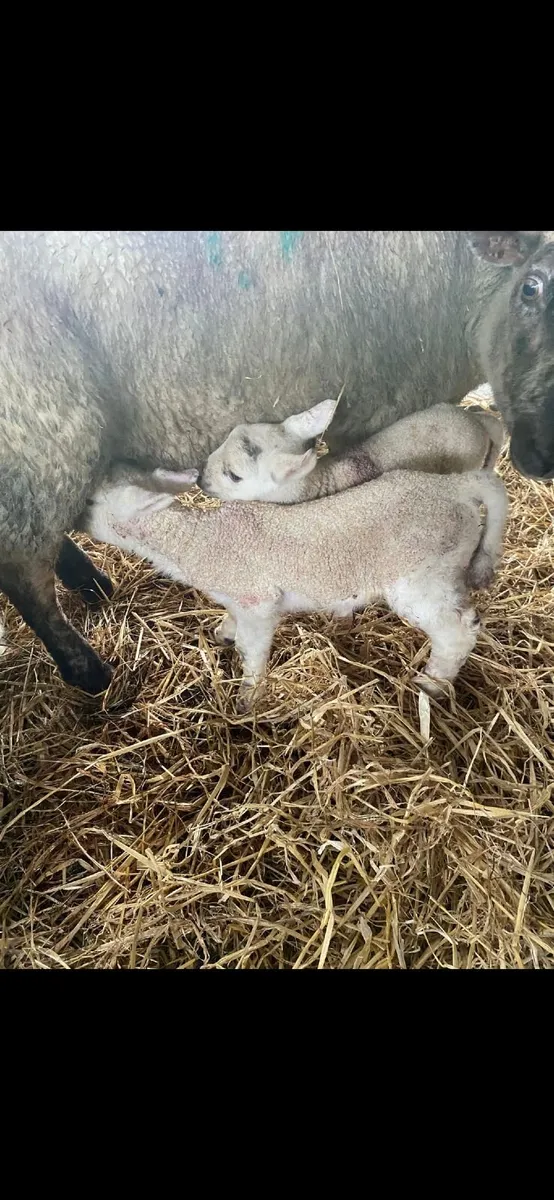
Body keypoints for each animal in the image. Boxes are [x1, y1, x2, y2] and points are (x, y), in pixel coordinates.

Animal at [82, 463, 508, 712]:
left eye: (88, 501)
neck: (198, 543)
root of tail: (457, 487)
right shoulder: (237, 598)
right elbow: (230, 622)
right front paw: (221, 634)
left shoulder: (257, 600)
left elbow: (251, 650)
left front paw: (248, 699)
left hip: (422, 574)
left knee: (457, 631)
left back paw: (430, 684)